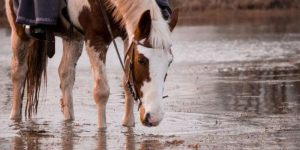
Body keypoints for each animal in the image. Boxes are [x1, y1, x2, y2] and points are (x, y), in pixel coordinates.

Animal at [5, 0, 178, 127]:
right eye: (141, 60)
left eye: (169, 62)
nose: (154, 117)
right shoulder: (95, 39)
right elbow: (101, 91)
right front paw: (102, 130)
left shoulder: (127, 34)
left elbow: (127, 82)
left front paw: (128, 124)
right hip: (19, 31)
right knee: (18, 72)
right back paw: (14, 119)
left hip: (73, 38)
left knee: (66, 74)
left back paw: (69, 120)